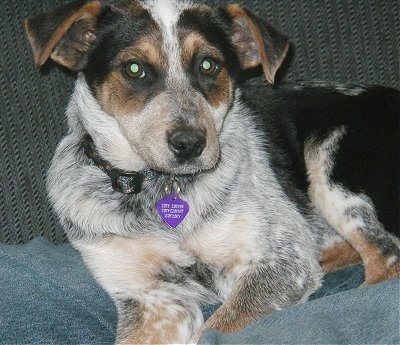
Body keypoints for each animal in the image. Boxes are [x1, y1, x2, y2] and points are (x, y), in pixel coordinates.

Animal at [24, 1, 396, 342]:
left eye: (208, 64)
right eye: (134, 68)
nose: (189, 142)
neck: (159, 188)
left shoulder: (281, 264)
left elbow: (211, 332)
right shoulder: (151, 297)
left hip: (330, 164)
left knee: (387, 261)